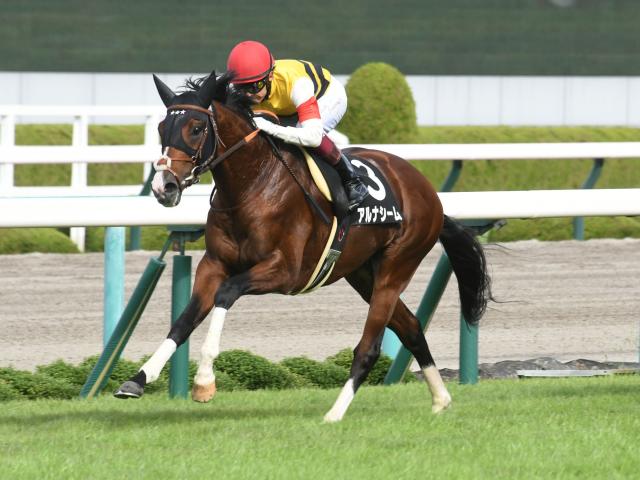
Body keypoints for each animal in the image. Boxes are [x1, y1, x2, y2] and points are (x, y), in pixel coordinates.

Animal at [114, 70, 492, 423]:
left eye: (195, 128)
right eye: (162, 128)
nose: (164, 187)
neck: (252, 185)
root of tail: (428, 192)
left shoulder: (286, 272)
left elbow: (227, 293)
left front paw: (205, 381)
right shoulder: (214, 264)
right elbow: (184, 320)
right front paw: (137, 380)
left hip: (396, 266)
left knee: (369, 347)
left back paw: (335, 413)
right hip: (362, 273)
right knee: (411, 327)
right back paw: (441, 399)